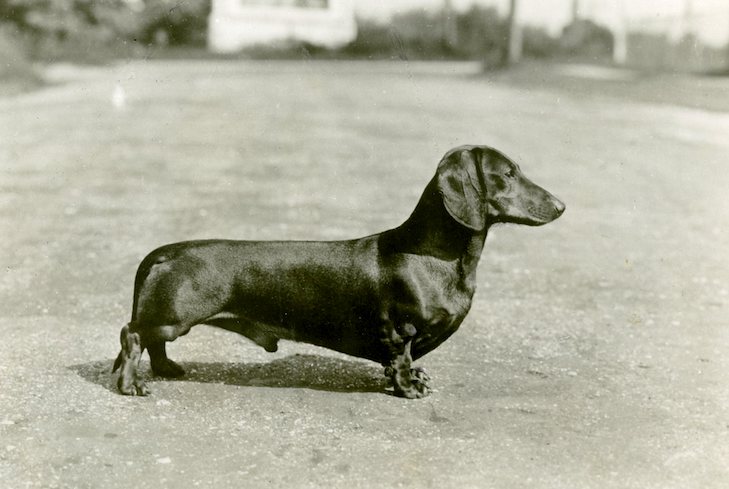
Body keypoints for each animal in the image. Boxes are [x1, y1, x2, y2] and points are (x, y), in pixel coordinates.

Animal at [112, 144, 564, 396]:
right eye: (508, 174)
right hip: (173, 317)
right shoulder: (400, 329)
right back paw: (133, 385)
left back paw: (167, 370)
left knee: (151, 342)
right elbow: (400, 360)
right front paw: (407, 388)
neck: (433, 256)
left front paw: (414, 377)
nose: (561, 205)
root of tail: (162, 253)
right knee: (132, 334)